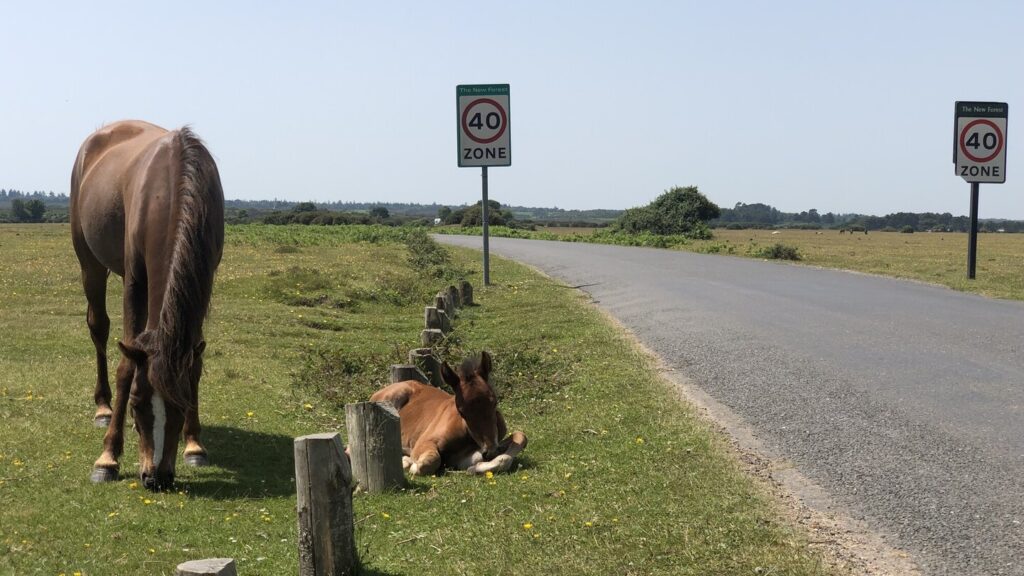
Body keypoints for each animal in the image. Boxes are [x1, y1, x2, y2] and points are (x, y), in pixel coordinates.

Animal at [70, 120, 224, 491]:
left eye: (181, 406)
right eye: (137, 406)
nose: (156, 477)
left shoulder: (204, 278)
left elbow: (194, 362)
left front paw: (194, 444)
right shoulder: (134, 281)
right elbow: (127, 366)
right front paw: (107, 457)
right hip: (89, 263)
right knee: (99, 328)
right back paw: (103, 408)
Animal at [369, 351, 527, 476]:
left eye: (494, 403)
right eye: (461, 411)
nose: (491, 451)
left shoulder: (464, 457)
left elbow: (519, 438)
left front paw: (475, 468)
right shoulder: (424, 442)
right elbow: (431, 461)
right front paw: (410, 463)